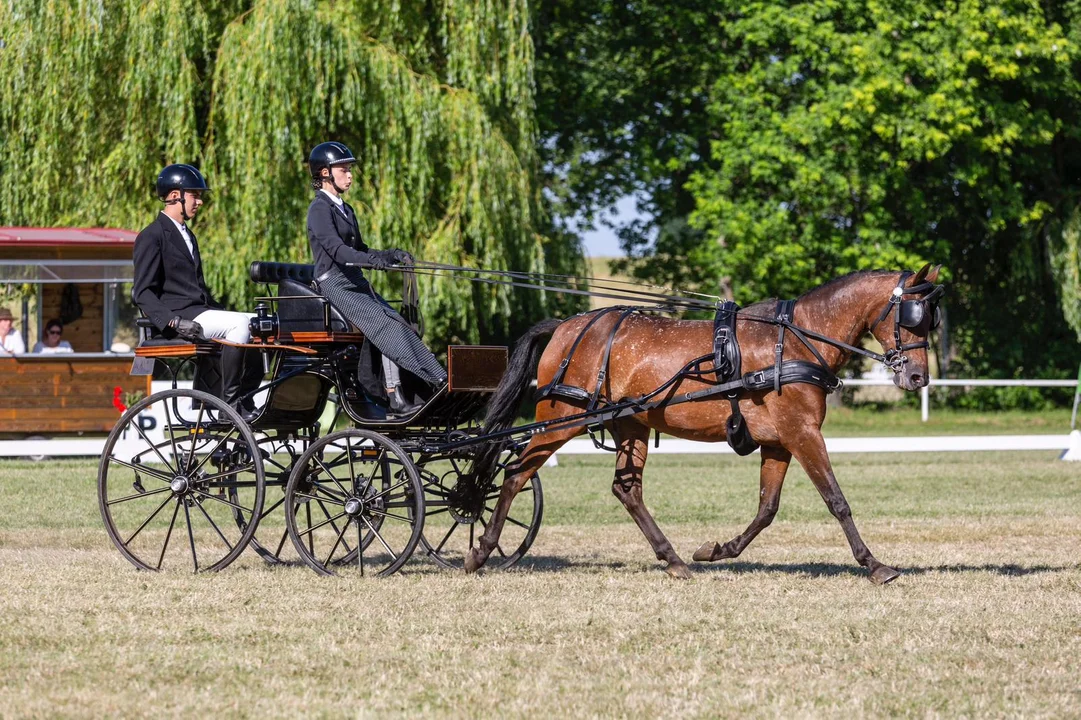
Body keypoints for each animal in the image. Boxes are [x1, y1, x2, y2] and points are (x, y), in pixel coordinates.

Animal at [469, 263, 942, 583]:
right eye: (912, 316)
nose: (919, 378)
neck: (795, 340)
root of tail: (568, 326)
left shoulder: (779, 442)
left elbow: (767, 509)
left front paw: (716, 550)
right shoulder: (802, 433)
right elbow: (836, 500)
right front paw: (875, 565)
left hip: (631, 426)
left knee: (626, 489)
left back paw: (674, 560)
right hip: (560, 419)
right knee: (515, 473)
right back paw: (481, 551)